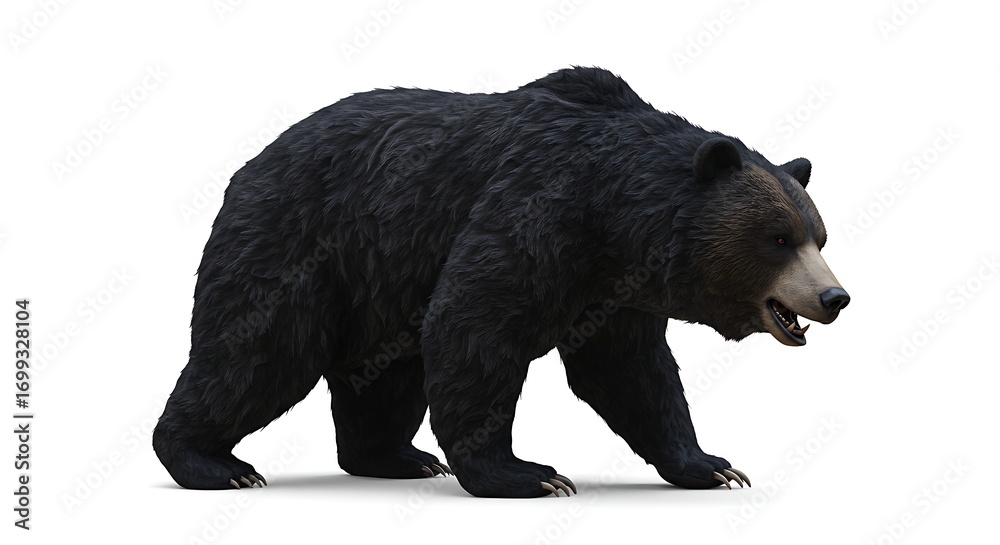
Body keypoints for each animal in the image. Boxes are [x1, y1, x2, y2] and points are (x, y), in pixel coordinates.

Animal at [153, 66, 850, 498]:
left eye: (818, 235)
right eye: (778, 239)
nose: (834, 297)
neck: (618, 217)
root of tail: (250, 163)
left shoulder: (612, 290)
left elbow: (633, 372)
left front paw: (714, 466)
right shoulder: (540, 208)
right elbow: (475, 324)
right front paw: (530, 474)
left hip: (380, 283)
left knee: (386, 374)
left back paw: (398, 458)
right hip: (300, 242)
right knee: (259, 352)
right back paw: (214, 463)